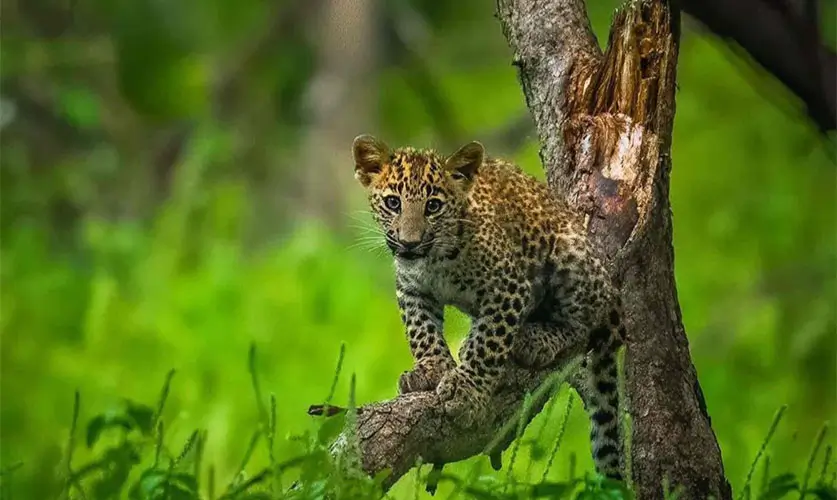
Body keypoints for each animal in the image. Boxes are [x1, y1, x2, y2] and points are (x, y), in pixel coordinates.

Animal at [351, 134, 628, 480]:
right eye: (393, 203)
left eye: (433, 206)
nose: (410, 243)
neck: (434, 261)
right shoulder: (412, 289)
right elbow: (421, 332)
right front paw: (431, 369)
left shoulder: (508, 286)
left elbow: (489, 344)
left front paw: (466, 391)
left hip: (573, 261)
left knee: (583, 325)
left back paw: (534, 339)